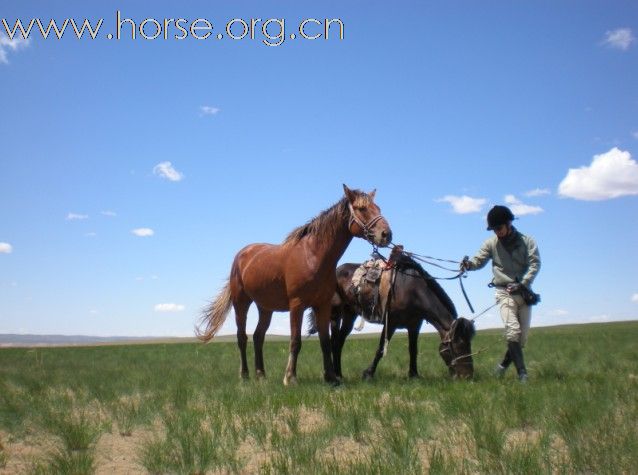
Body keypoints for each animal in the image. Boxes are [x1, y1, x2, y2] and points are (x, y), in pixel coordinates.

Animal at [198, 186, 392, 386]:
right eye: (362, 209)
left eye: (378, 208)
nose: (386, 234)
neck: (314, 256)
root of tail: (241, 255)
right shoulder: (297, 305)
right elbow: (295, 341)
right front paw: (290, 378)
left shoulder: (323, 305)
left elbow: (325, 341)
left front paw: (331, 377)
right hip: (241, 303)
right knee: (242, 337)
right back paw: (244, 375)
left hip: (265, 308)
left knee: (258, 337)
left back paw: (261, 375)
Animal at [310, 249, 476, 380]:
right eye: (459, 345)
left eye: (469, 343)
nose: (467, 376)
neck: (412, 290)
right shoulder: (391, 323)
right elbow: (380, 349)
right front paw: (368, 374)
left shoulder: (414, 325)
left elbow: (413, 349)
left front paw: (414, 374)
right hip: (335, 314)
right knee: (334, 341)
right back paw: (335, 374)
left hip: (350, 315)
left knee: (339, 342)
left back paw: (339, 373)